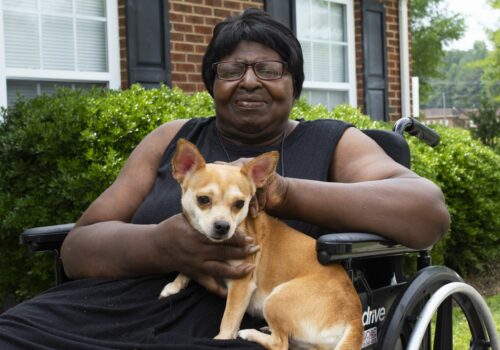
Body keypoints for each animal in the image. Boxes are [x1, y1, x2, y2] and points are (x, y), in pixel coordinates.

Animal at [160, 139, 364, 350]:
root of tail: (355, 318)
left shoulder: (241, 284)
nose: (223, 226)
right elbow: (187, 267)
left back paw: (250, 333)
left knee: (279, 343)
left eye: (239, 204)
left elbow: (229, 319)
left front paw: (221, 339)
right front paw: (174, 285)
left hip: (274, 300)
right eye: (203, 200)